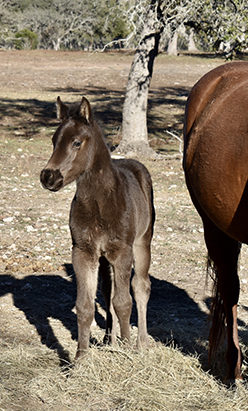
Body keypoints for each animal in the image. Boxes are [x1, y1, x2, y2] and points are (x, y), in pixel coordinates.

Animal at [39, 96, 154, 360]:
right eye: (53, 141)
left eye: (76, 142)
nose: (48, 176)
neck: (100, 202)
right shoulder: (83, 251)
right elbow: (85, 306)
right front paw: (81, 359)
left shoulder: (122, 252)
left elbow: (124, 302)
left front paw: (126, 350)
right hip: (103, 259)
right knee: (107, 292)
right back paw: (109, 339)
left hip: (142, 242)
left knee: (140, 287)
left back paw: (141, 342)